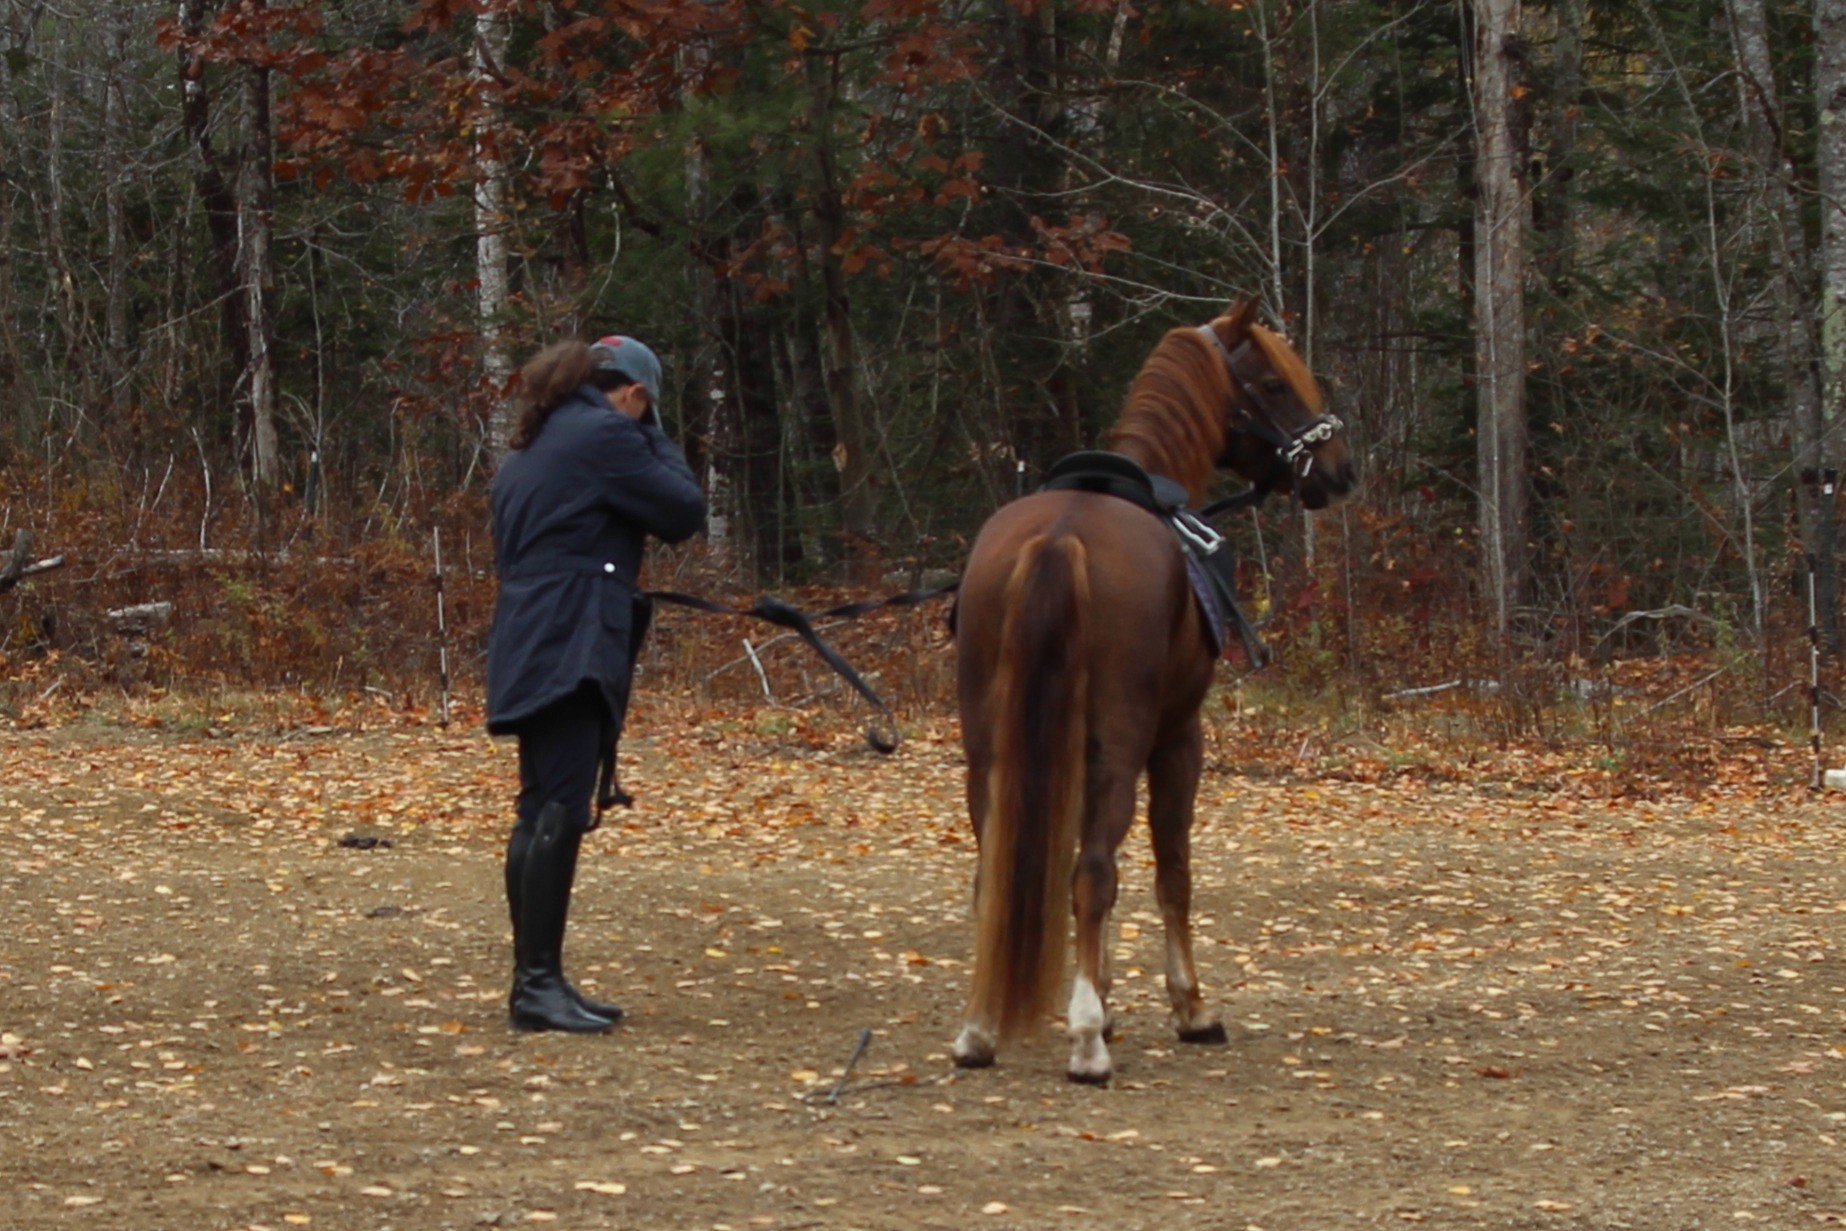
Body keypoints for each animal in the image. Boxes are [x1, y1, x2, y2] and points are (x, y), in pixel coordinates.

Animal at [951, 299, 1357, 1084]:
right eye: (1274, 384)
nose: (1337, 468)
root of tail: (1060, 538)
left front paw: (1105, 995)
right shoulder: (1176, 741)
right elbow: (1172, 872)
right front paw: (1186, 1008)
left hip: (989, 751)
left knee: (998, 872)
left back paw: (981, 1027)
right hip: (1122, 741)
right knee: (1094, 872)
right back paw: (1086, 1046)